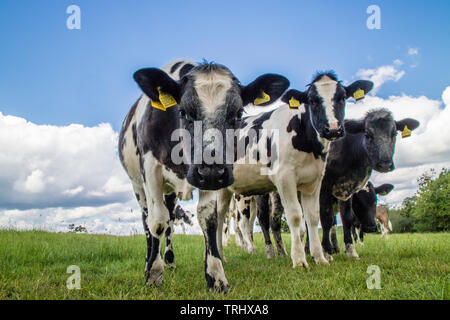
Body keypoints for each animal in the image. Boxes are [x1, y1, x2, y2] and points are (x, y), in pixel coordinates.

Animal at [118, 58, 288, 292]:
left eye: (238, 114)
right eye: (183, 112)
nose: (211, 169)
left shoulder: (209, 181)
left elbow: (208, 219)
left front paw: (216, 276)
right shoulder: (150, 169)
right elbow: (157, 221)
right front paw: (153, 274)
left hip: (171, 191)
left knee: (170, 220)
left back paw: (170, 261)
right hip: (138, 185)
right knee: (147, 221)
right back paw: (149, 261)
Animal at [214, 71, 372, 268]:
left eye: (342, 97)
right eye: (312, 100)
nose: (333, 129)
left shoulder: (314, 181)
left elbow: (313, 217)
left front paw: (319, 257)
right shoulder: (284, 177)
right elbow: (296, 216)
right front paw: (299, 259)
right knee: (219, 218)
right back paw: (220, 256)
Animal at [320, 110, 418, 260]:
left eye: (394, 134)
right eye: (367, 134)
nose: (385, 164)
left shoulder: (347, 190)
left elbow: (346, 219)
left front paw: (351, 252)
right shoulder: (323, 186)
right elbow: (325, 218)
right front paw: (326, 253)